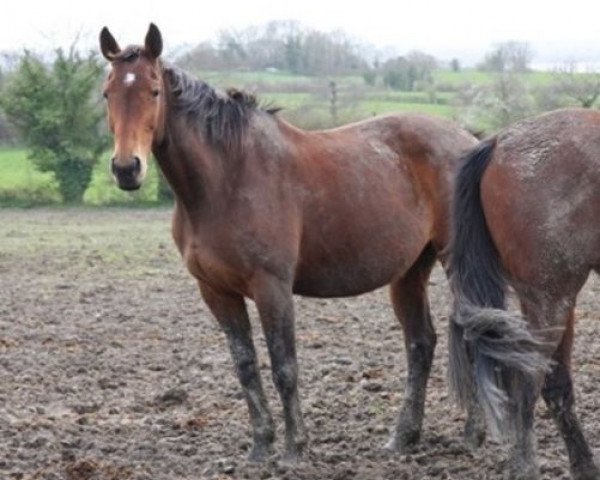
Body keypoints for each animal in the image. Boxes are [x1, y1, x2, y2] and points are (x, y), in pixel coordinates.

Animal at [99, 23, 482, 462]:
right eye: (107, 93)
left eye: (154, 91)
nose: (126, 169)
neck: (226, 178)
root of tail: (469, 140)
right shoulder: (215, 291)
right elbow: (246, 366)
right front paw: (260, 445)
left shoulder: (272, 287)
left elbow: (284, 365)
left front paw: (295, 447)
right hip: (409, 272)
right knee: (420, 344)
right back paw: (403, 437)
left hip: (457, 263)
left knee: (473, 335)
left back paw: (473, 435)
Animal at [450, 109, 600, 480]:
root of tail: (498, 142)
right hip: (550, 299)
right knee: (528, 381)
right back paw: (526, 466)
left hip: (556, 303)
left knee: (553, 384)